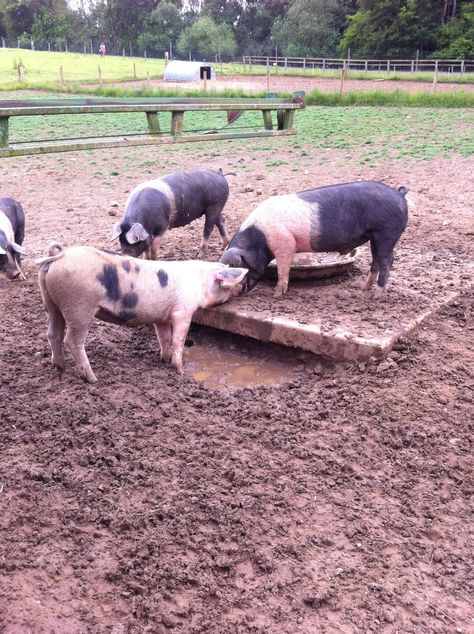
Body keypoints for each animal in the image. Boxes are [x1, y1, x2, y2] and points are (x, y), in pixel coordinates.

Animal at [37, 242, 248, 380]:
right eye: (229, 285)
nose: (242, 288)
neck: (200, 283)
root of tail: (60, 256)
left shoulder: (161, 317)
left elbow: (164, 338)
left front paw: (163, 360)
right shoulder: (183, 311)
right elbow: (178, 339)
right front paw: (180, 371)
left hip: (50, 302)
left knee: (53, 334)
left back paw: (60, 368)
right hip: (80, 306)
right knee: (72, 340)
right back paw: (93, 379)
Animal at [220, 179, 410, 296]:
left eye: (237, 269)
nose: (233, 293)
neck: (259, 237)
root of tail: (399, 195)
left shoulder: (285, 243)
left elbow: (283, 270)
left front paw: (276, 295)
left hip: (386, 233)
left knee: (387, 260)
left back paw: (376, 295)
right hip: (375, 238)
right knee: (376, 260)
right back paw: (365, 288)